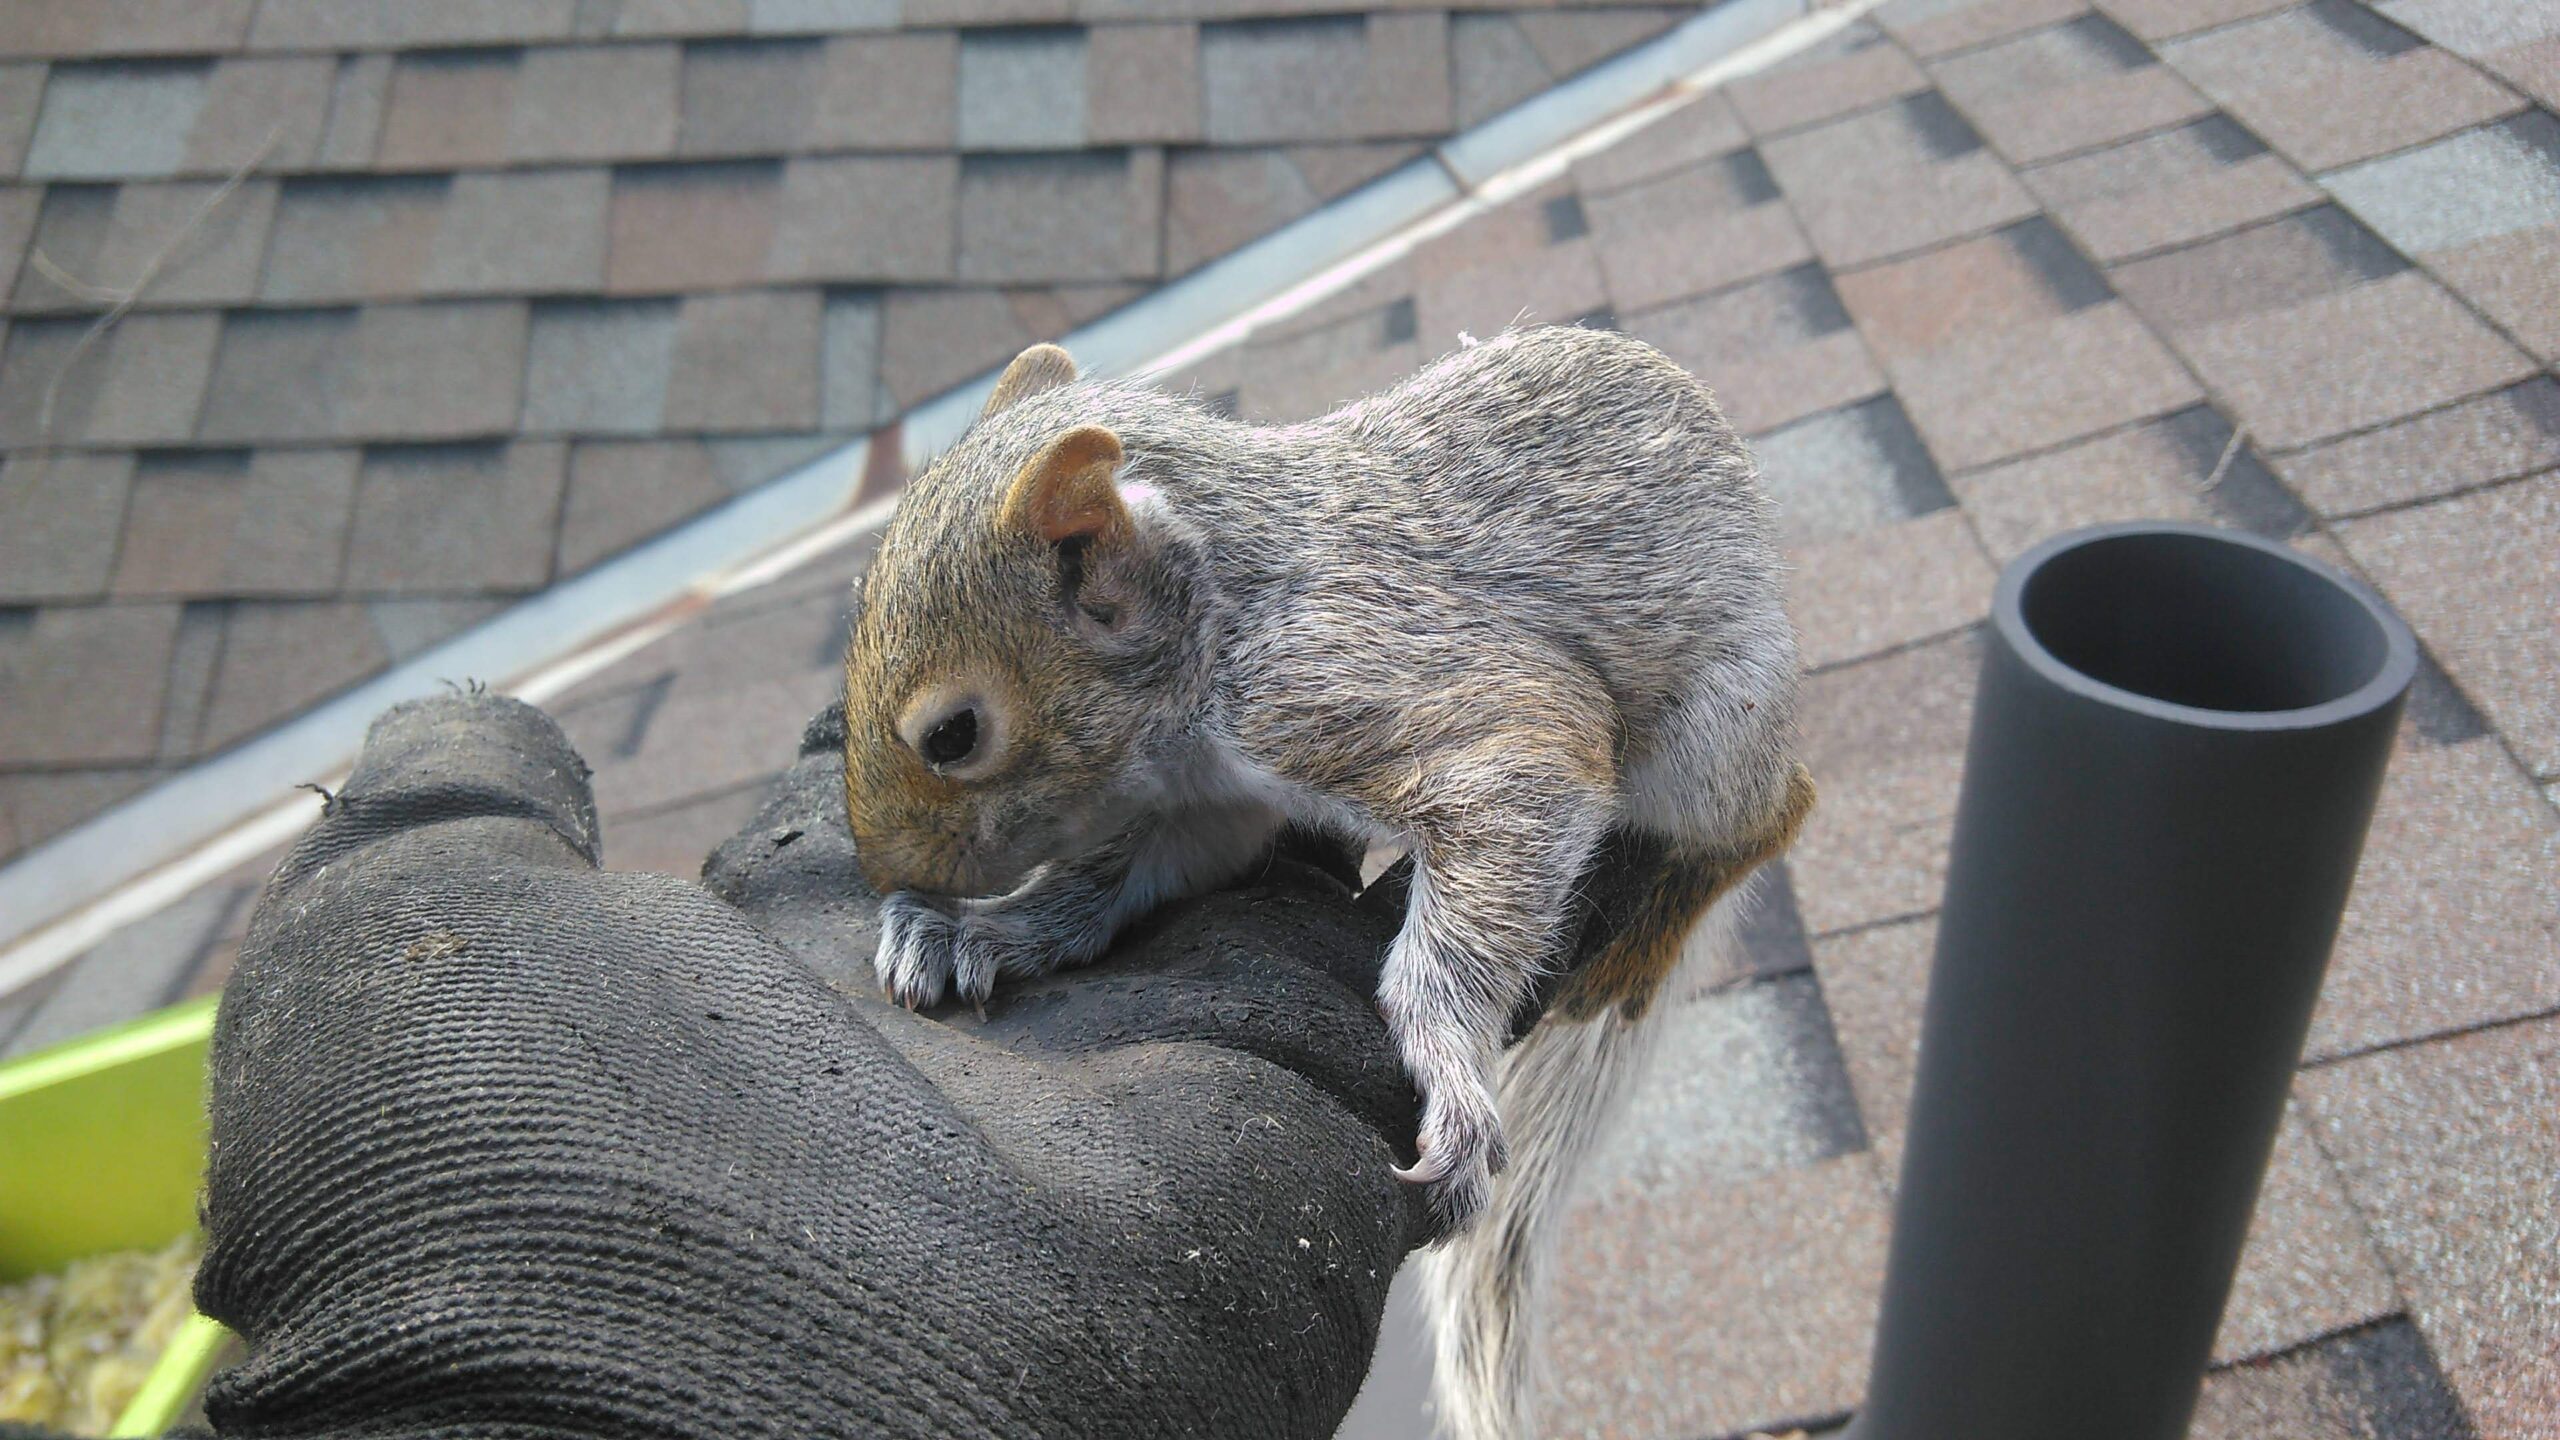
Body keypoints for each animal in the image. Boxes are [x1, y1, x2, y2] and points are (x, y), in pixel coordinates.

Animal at [841, 324, 1814, 1440]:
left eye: (953, 734)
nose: (880, 866)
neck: (1214, 602)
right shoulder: (1206, 808)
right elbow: (1114, 879)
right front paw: (982, 930)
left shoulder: (1366, 681)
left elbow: (1520, 776)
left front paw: (1446, 1064)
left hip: (1710, 736)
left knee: (1772, 815)